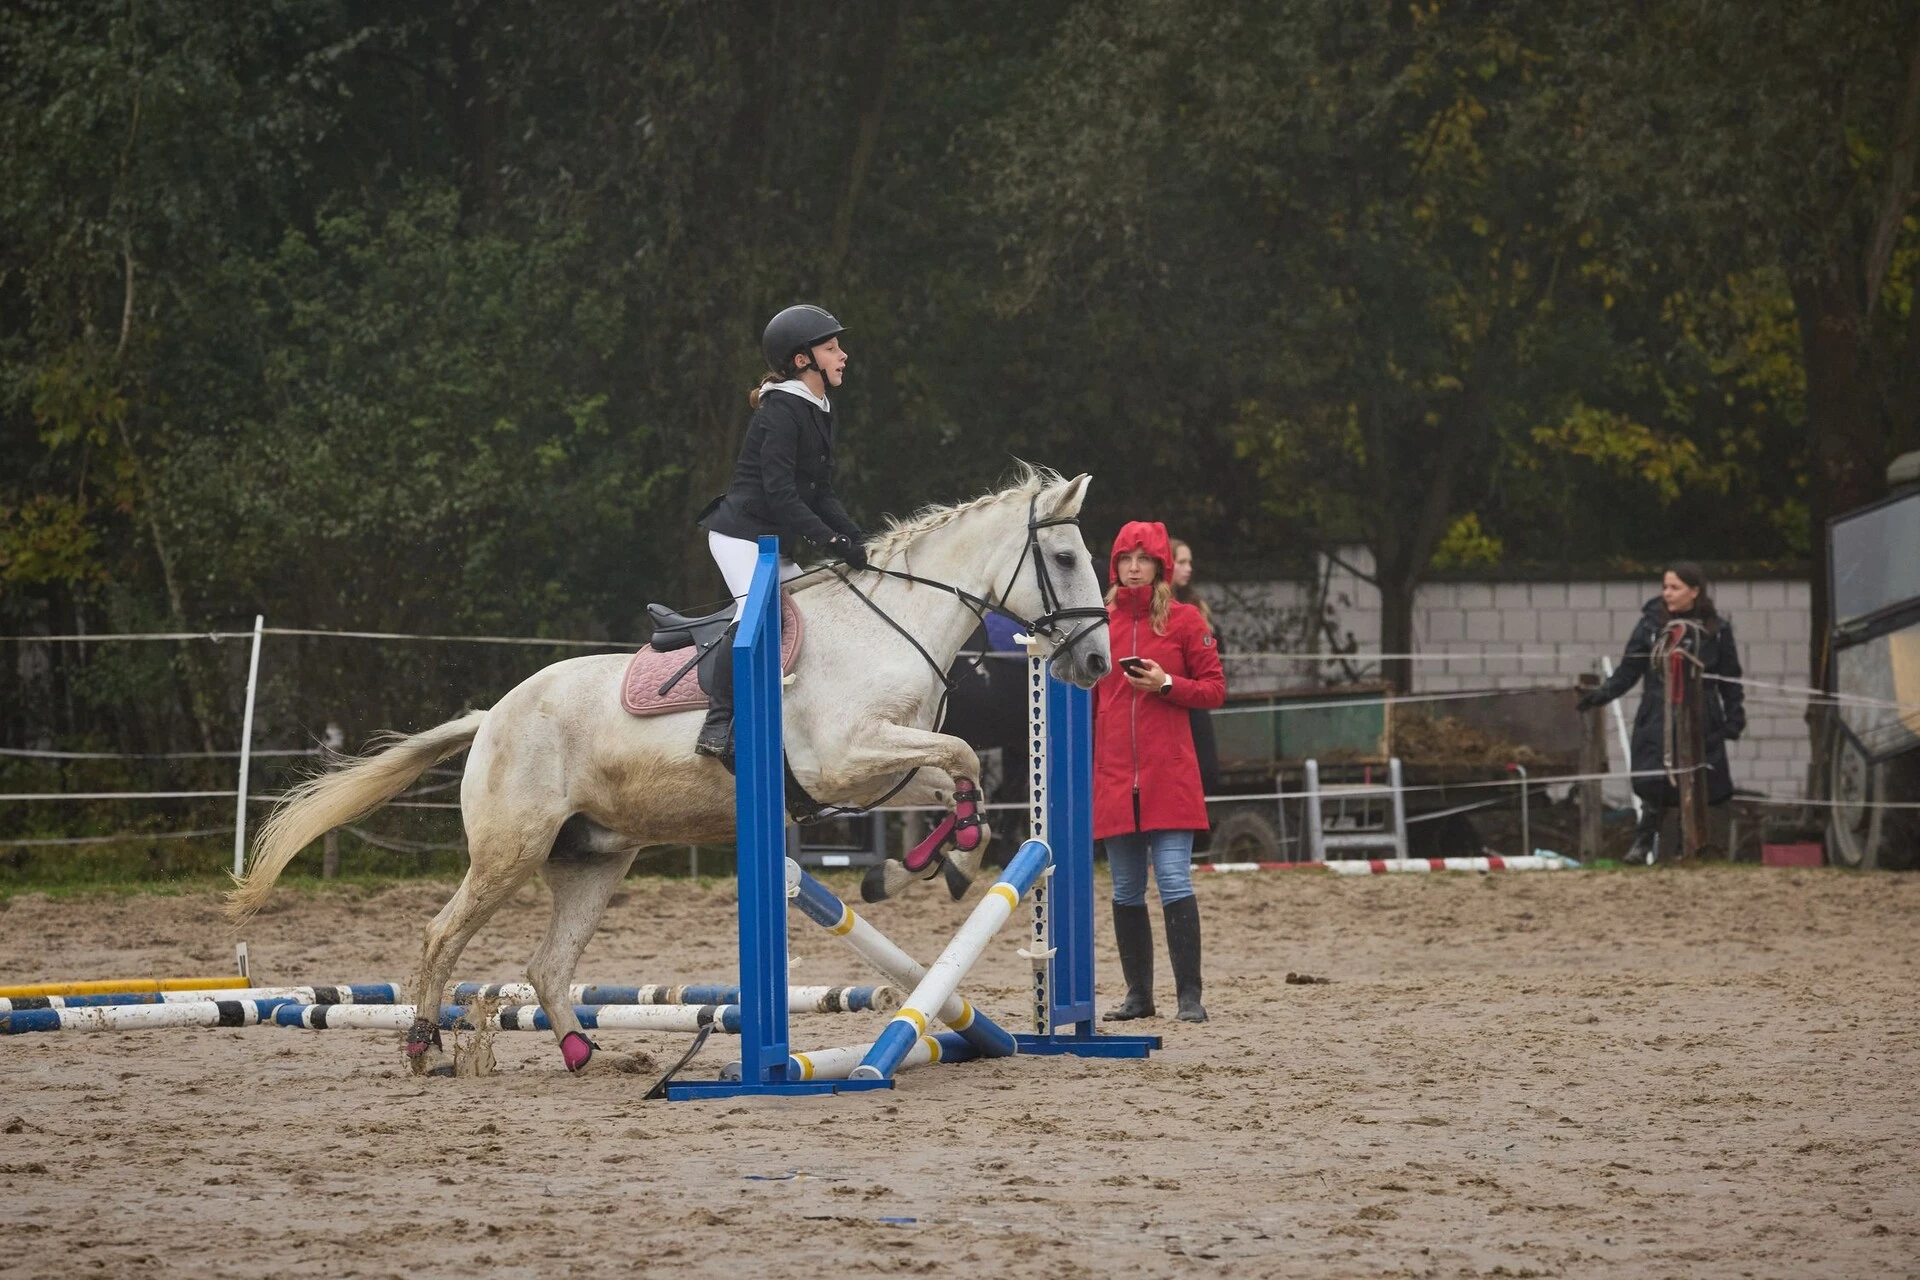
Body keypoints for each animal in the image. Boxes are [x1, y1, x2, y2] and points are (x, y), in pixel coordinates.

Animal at [228, 466, 1113, 1074]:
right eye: (1065, 556)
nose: (1099, 663)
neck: (890, 623)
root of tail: (493, 718)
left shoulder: (877, 770)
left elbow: (966, 790)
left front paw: (934, 859)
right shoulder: (844, 762)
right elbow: (961, 759)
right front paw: (930, 861)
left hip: (592, 859)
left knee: (550, 965)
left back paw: (584, 1055)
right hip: (510, 851)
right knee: (443, 932)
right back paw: (420, 1044)